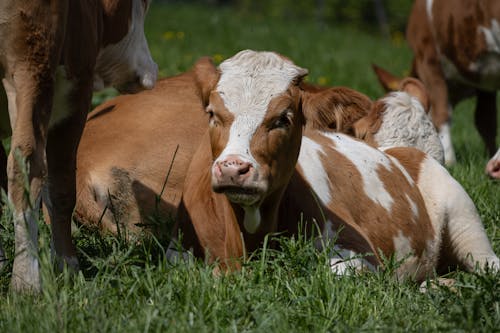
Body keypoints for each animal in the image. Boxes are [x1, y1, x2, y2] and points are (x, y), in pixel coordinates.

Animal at [0, 0, 158, 290]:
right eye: (144, 4)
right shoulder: (76, 91)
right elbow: (61, 188)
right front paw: (67, 266)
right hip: (33, 64)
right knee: (26, 163)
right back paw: (26, 282)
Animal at [170, 50, 498, 282]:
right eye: (212, 114)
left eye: (283, 118)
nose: (233, 168)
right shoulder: (179, 249)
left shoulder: (360, 257)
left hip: (466, 224)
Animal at [374, 0, 500, 166]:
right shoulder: (485, 83)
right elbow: (486, 121)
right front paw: (490, 157)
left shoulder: (428, 59)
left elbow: (440, 113)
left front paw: (449, 160)